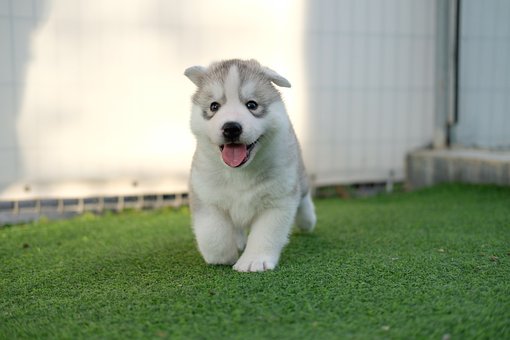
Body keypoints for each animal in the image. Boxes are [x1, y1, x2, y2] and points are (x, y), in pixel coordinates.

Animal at [185, 58, 316, 270]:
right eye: (214, 106)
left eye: (252, 105)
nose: (231, 128)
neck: (240, 172)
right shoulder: (206, 194)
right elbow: (213, 233)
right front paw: (222, 257)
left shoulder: (278, 199)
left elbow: (266, 233)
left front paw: (254, 261)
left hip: (299, 177)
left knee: (304, 197)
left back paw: (307, 220)